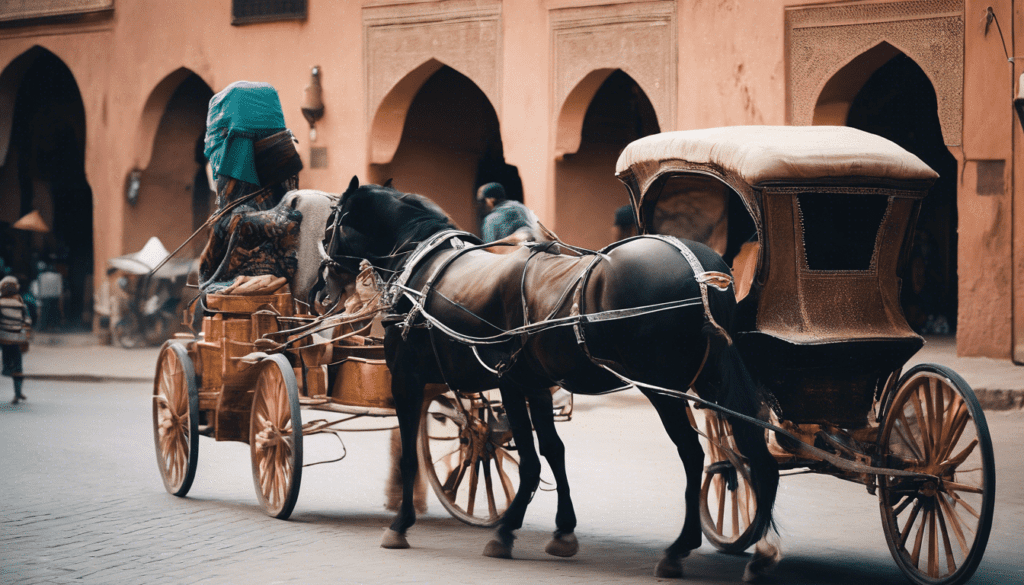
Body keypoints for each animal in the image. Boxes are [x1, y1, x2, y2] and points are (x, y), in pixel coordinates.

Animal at [323, 177, 780, 580]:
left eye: (330, 223)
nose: (323, 288)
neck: (423, 269)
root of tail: (703, 273)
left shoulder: (418, 377)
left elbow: (499, 458)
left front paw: (412, 525)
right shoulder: (532, 384)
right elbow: (552, 451)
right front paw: (563, 530)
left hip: (663, 389)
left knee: (694, 455)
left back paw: (680, 548)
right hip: (714, 376)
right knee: (753, 451)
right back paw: (759, 549)